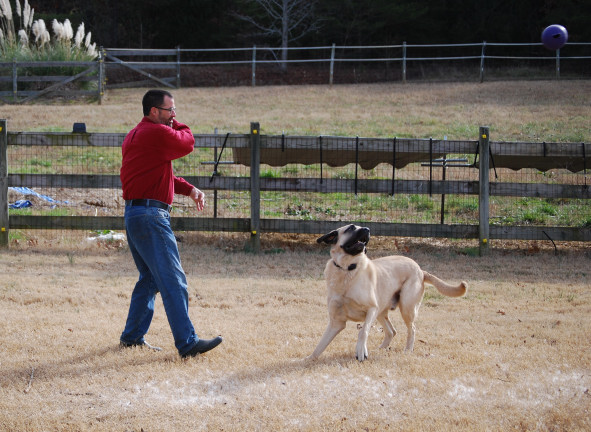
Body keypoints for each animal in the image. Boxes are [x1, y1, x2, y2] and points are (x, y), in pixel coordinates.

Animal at [308, 223, 470, 362]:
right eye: (351, 228)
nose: (367, 229)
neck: (347, 269)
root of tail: (420, 270)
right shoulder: (336, 322)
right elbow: (321, 344)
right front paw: (309, 359)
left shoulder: (371, 309)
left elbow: (363, 331)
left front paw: (361, 351)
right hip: (382, 311)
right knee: (392, 331)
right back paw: (380, 349)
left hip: (405, 308)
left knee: (412, 329)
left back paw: (408, 350)